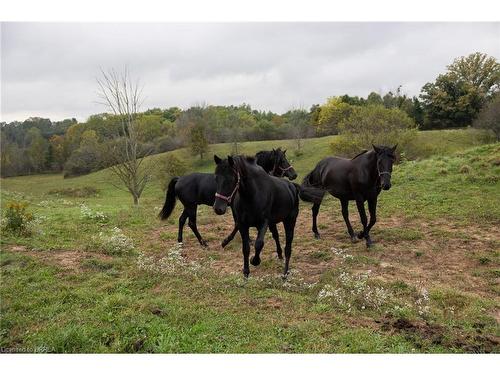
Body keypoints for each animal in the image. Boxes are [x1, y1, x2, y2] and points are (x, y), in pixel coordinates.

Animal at [158, 148, 294, 248]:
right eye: (282, 161)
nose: (294, 174)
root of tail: (179, 179)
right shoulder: (235, 207)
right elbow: (237, 223)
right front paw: (231, 241)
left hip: (189, 206)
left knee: (181, 220)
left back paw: (180, 242)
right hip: (191, 206)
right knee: (191, 223)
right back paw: (203, 243)